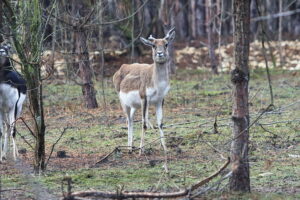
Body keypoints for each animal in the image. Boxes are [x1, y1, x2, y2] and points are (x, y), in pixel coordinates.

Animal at [113, 27, 176, 155]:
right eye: (153, 45)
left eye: (166, 44)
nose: (160, 53)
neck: (157, 83)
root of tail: (121, 67)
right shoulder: (144, 98)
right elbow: (144, 124)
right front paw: (141, 151)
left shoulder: (159, 100)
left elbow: (160, 123)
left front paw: (165, 148)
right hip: (124, 104)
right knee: (128, 121)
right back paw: (130, 149)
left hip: (134, 106)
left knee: (131, 120)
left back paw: (131, 147)